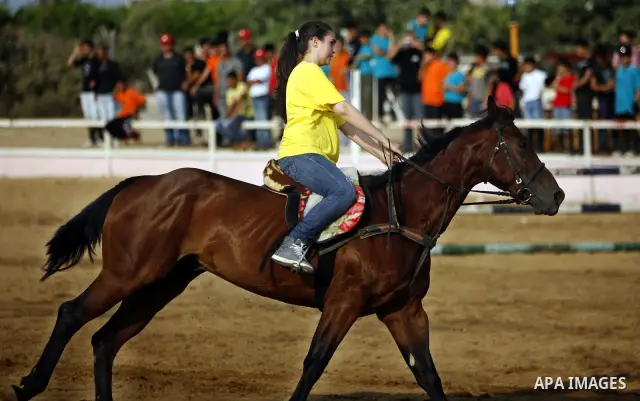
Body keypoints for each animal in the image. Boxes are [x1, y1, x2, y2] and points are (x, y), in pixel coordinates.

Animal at [9, 96, 565, 401]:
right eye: (520, 145)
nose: (556, 195)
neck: (399, 214)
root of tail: (142, 182)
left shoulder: (404, 310)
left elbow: (427, 375)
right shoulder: (344, 303)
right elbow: (313, 365)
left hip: (161, 283)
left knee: (106, 340)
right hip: (129, 274)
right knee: (71, 312)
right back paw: (31, 382)